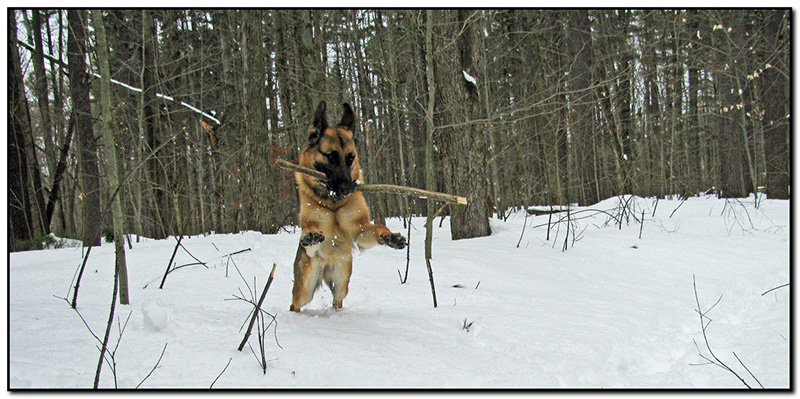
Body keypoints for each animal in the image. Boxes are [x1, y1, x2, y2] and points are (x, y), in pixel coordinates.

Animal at [290, 101, 406, 312]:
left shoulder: (359, 229)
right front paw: (310, 236)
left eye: (350, 158)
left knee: (338, 299)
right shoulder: (312, 231)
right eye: (331, 157)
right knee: (295, 302)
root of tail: (326, 269)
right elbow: (311, 231)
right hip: (305, 286)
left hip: (342, 281)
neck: (333, 203)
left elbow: (377, 227)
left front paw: (390, 237)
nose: (346, 188)